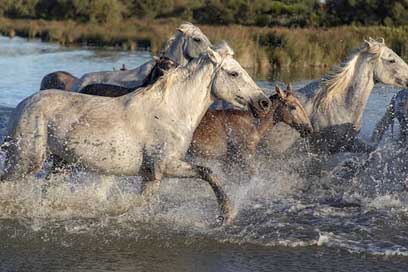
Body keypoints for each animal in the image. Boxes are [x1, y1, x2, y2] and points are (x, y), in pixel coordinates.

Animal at [3, 42, 272, 224]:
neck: (170, 110)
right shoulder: (164, 166)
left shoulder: (152, 174)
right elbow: (207, 173)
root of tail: (23, 105)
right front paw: (226, 213)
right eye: (234, 73)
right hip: (27, 161)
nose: (264, 102)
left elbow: (145, 200)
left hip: (61, 163)